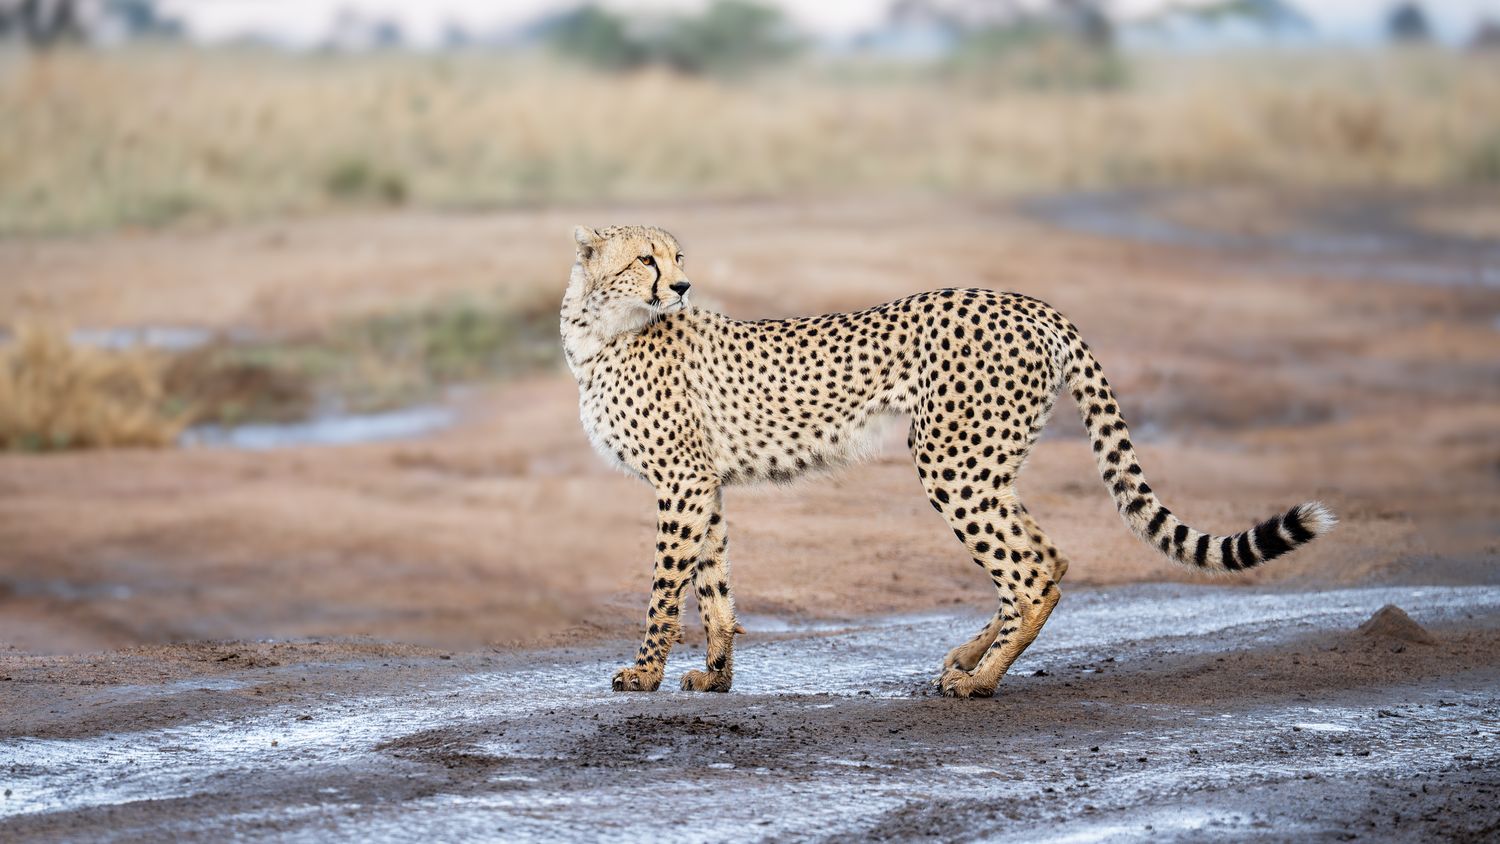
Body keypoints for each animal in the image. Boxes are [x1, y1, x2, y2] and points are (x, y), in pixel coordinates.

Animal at [560, 224, 1336, 699]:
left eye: (675, 259)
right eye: (647, 259)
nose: (682, 287)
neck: (598, 331)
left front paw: (644, 673)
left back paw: (979, 681)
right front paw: (716, 676)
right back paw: (972, 657)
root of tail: (1031, 303)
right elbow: (712, 584)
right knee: (1047, 556)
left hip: (950, 461)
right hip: (984, 463)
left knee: (1029, 573)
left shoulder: (682, 482)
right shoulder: (703, 482)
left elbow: (666, 586)